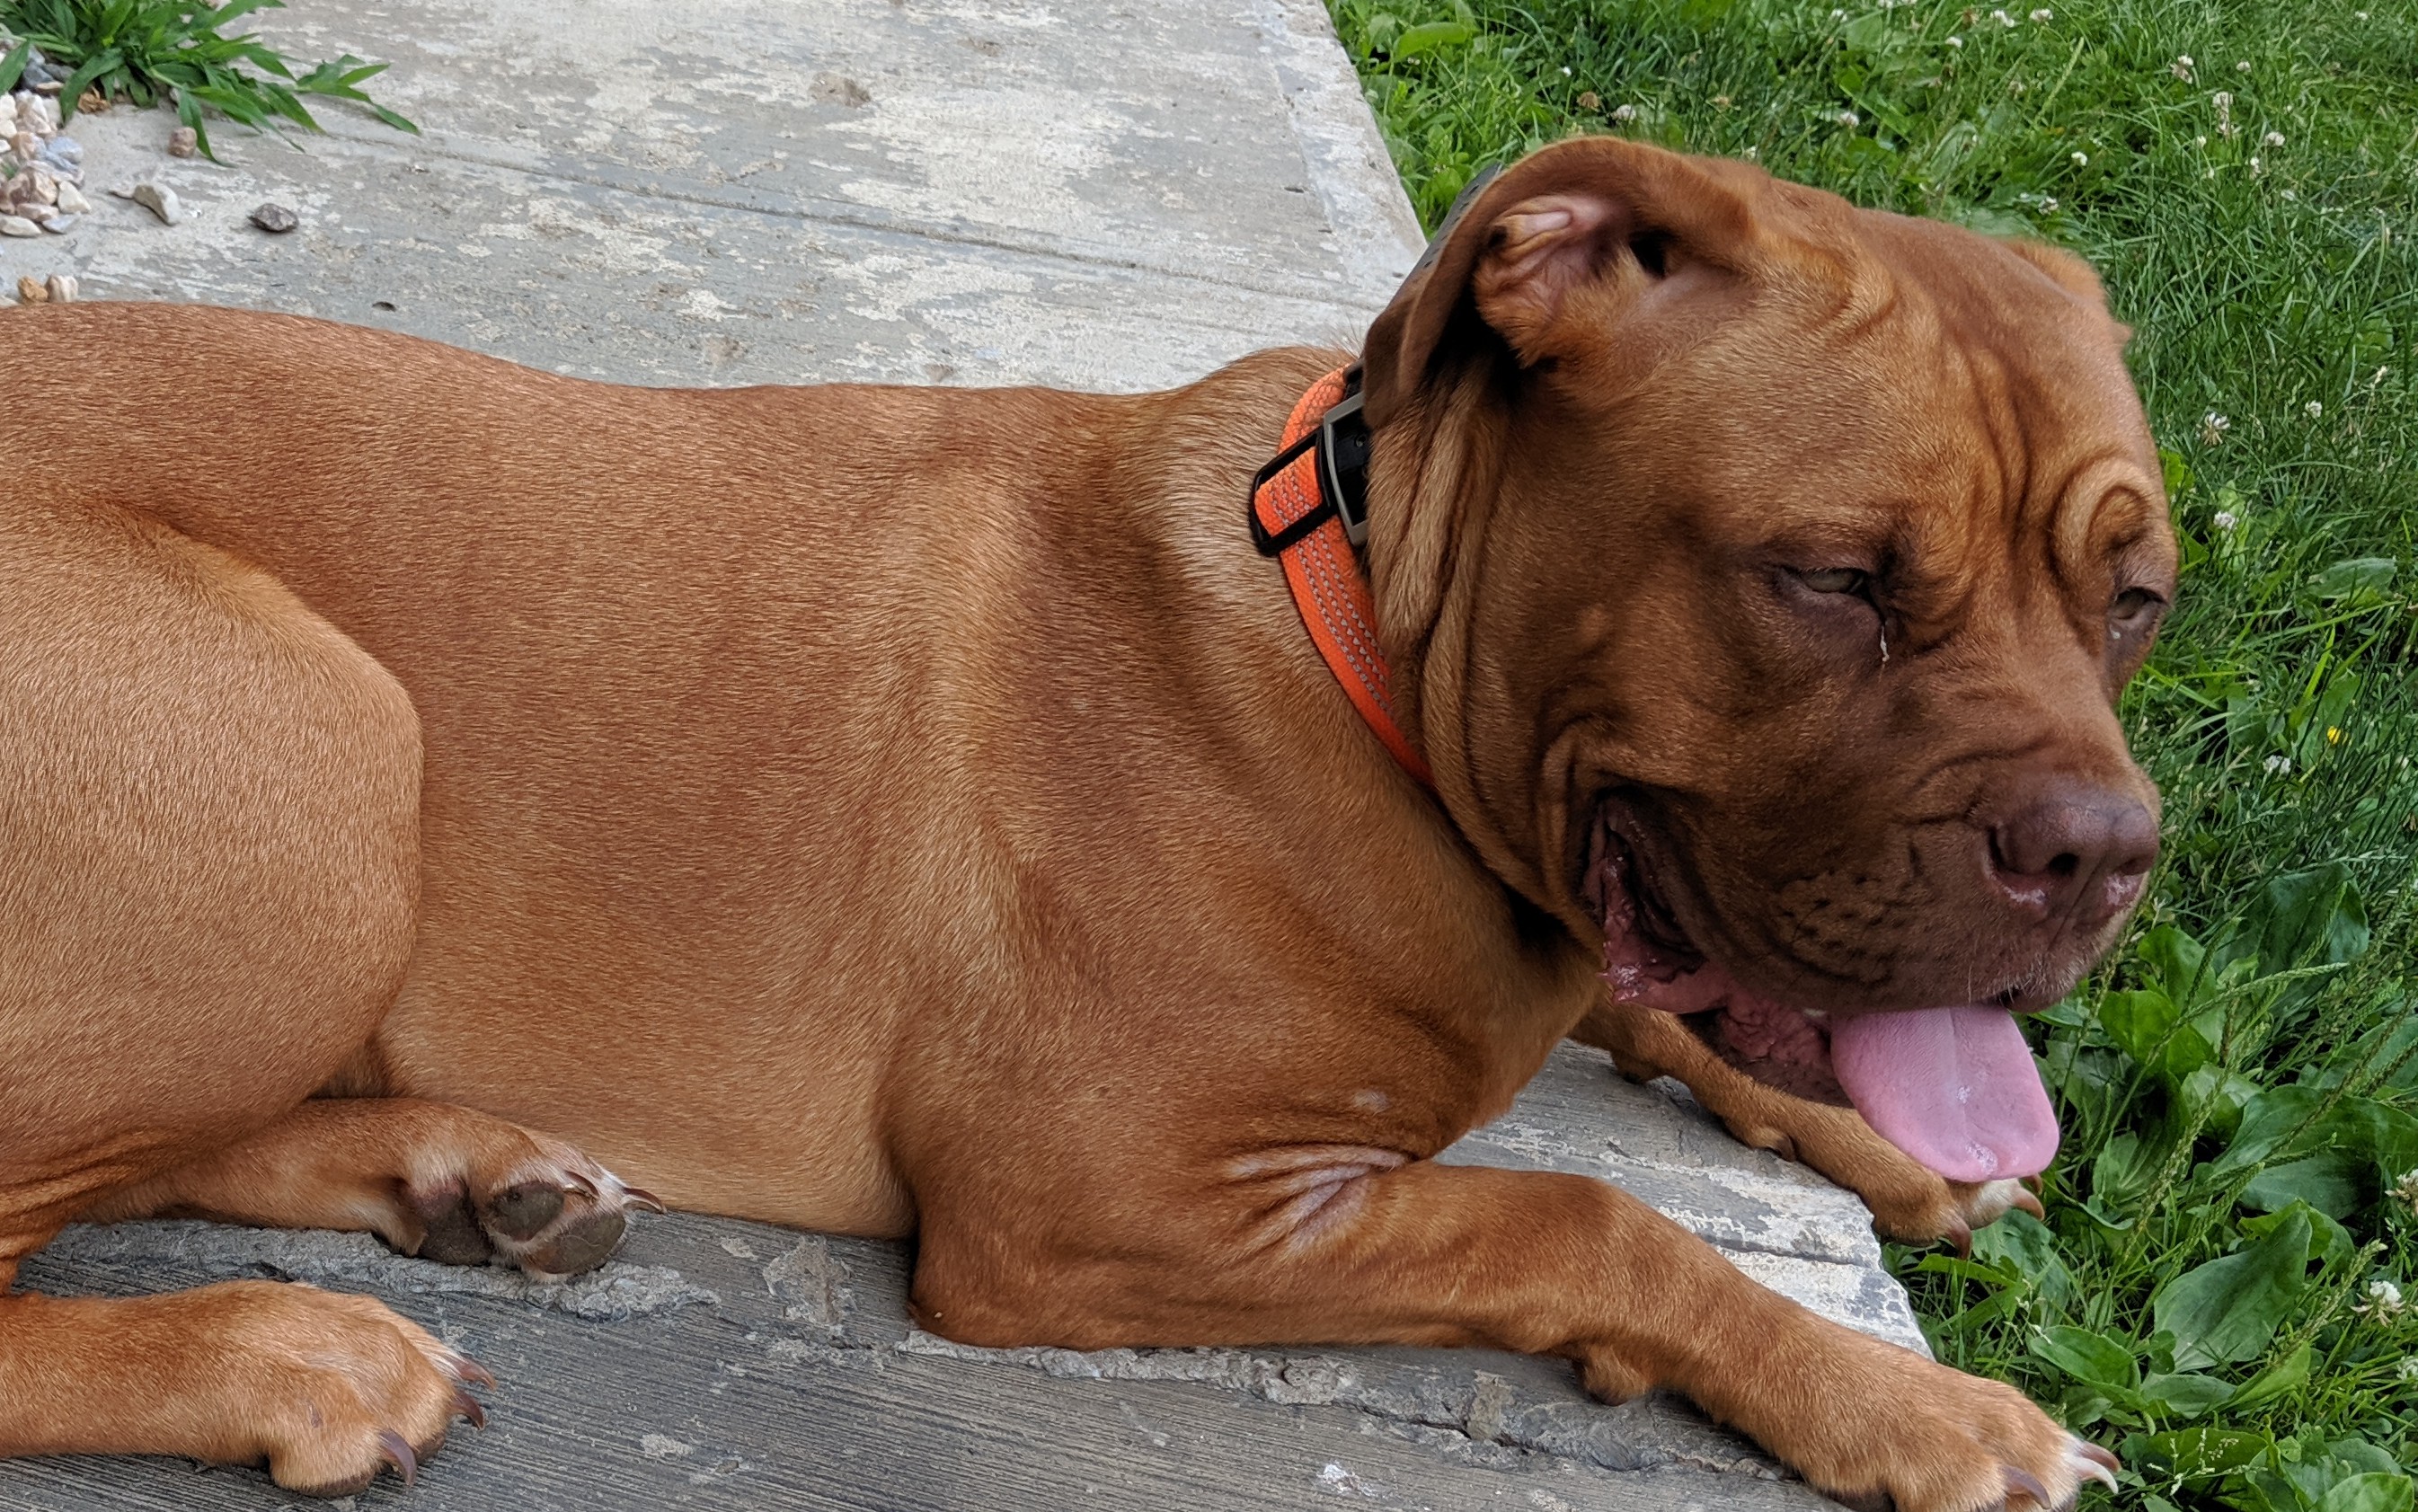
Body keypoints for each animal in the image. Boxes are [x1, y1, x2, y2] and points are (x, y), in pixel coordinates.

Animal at [0, 134, 2167, 1508]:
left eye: (2136, 602)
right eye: (1829, 580)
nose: (2103, 857)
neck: (1361, 645)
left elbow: (1667, 1015)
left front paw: (1874, 1150)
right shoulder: (1097, 1208)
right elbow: (1584, 1216)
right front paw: (1907, 1401)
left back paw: (465, 1169)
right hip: (326, 748)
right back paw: (291, 1351)